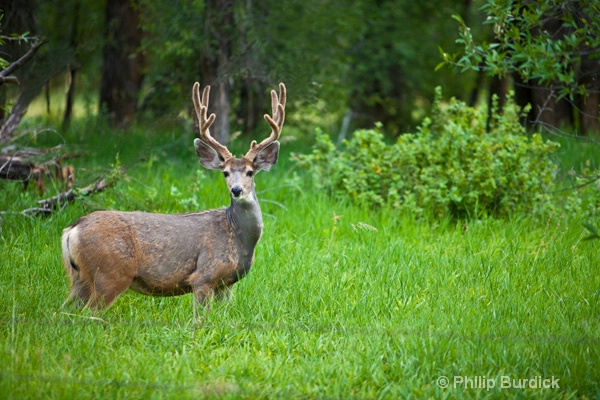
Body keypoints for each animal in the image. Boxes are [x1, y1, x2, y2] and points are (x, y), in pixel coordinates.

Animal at [61, 82, 286, 312]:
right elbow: (201, 317)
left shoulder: (227, 283)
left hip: (79, 277)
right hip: (109, 274)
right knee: (88, 314)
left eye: (250, 172)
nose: (237, 190)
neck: (239, 238)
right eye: (225, 172)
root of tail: (72, 230)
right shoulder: (204, 275)